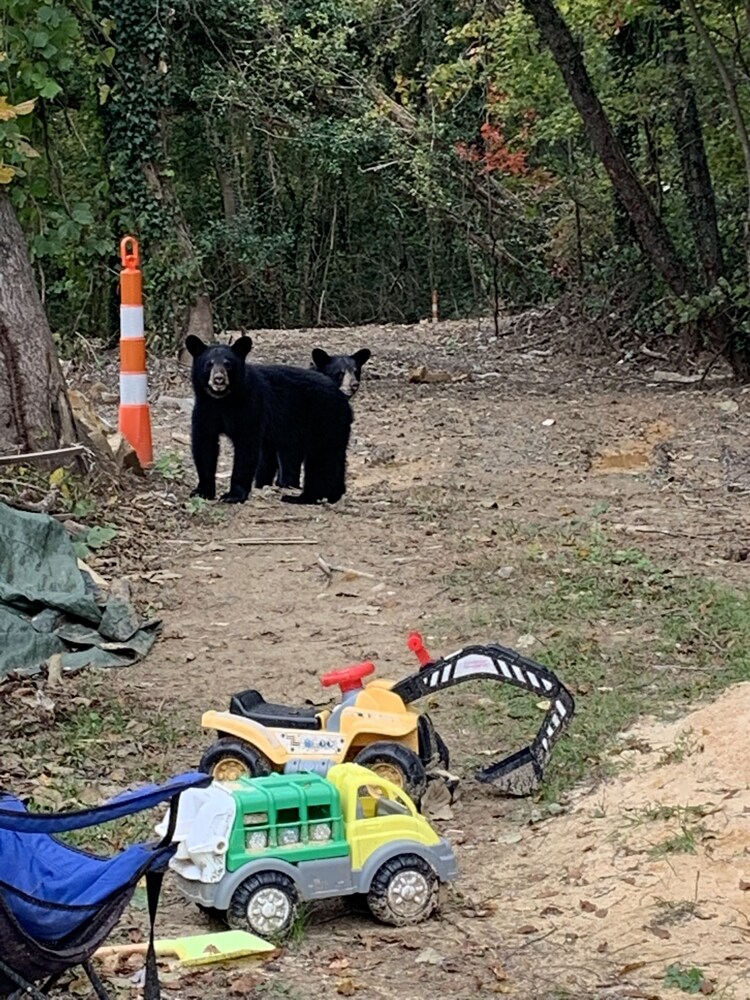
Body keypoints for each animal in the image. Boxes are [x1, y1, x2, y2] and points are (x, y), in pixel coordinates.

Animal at [188, 336, 352, 504]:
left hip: (324, 419)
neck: (223, 400)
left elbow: (246, 447)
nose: (219, 379)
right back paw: (334, 495)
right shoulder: (205, 408)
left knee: (322, 460)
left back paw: (302, 497)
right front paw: (202, 491)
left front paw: (233, 495)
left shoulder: (251, 405)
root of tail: (343, 399)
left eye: (228, 364)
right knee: (336, 458)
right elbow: (204, 445)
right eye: (209, 364)